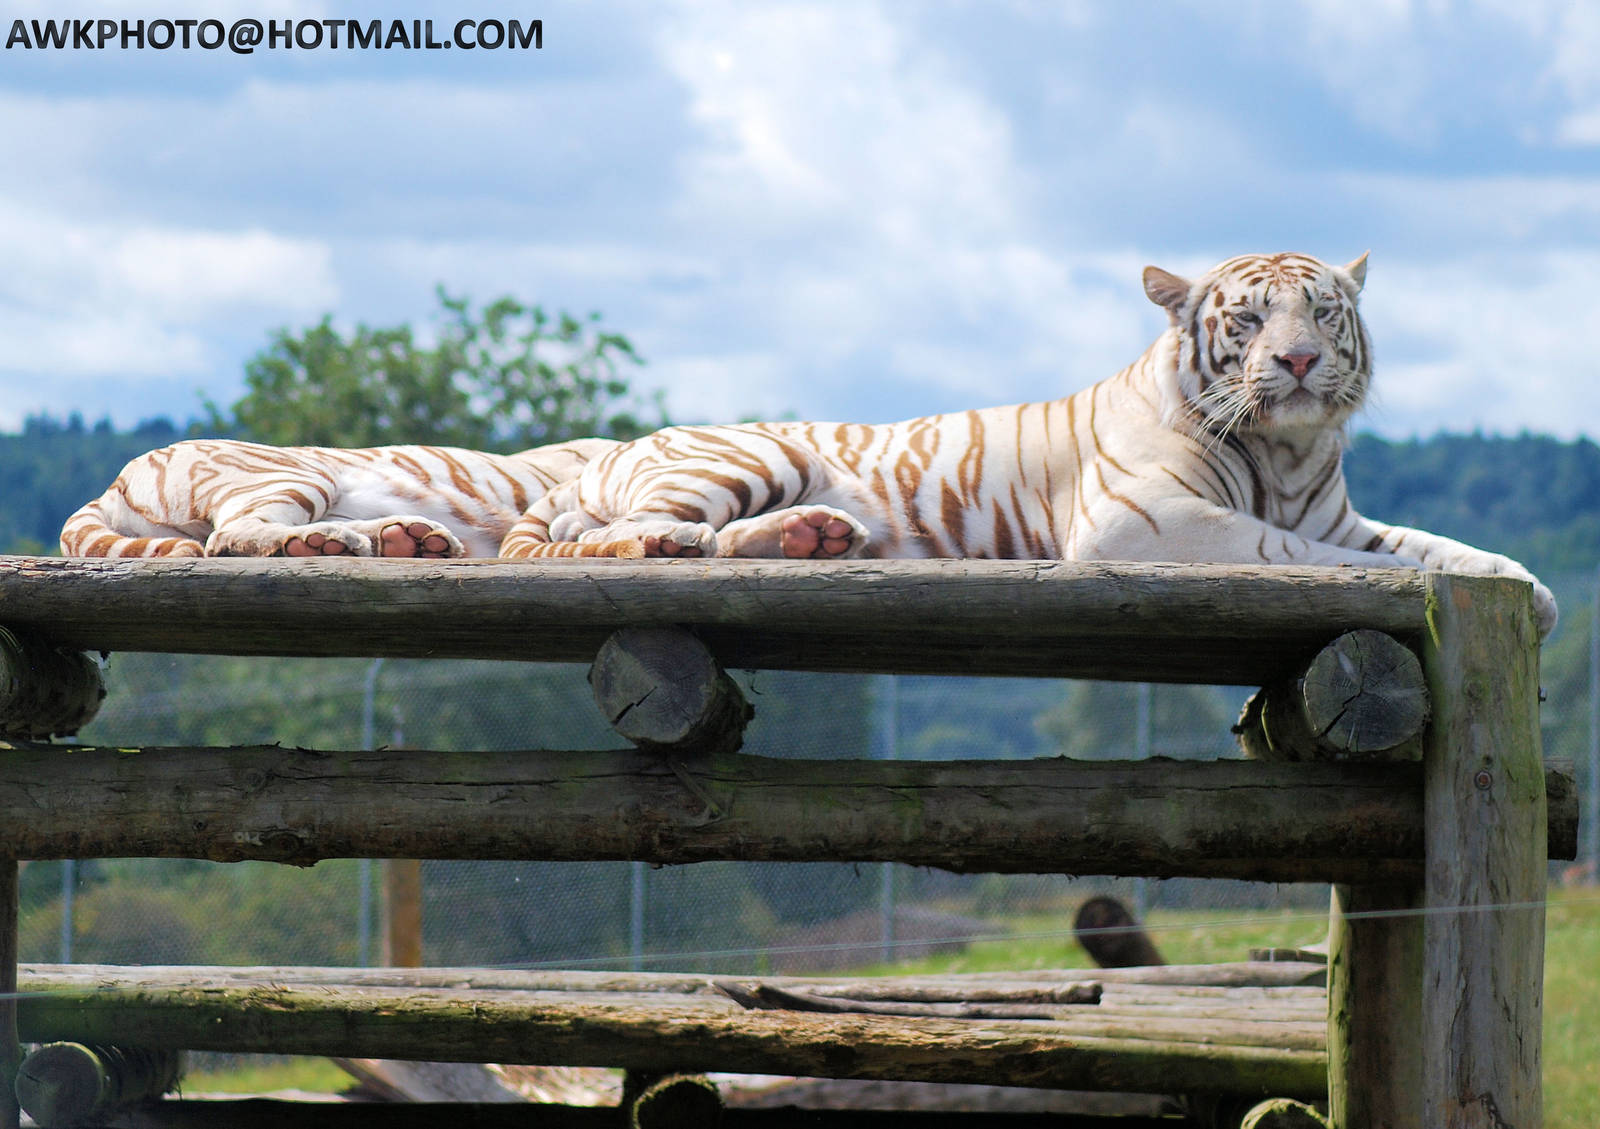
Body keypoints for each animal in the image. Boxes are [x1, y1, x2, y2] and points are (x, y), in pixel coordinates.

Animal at [500, 252, 1558, 637]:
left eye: (1323, 312)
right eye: (1251, 319)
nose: (1298, 361)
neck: (1291, 453)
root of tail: (612, 448)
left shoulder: (1345, 516)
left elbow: (1446, 548)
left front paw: (1533, 592)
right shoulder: (1147, 520)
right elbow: (1294, 550)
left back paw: (812, 539)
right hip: (745, 459)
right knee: (615, 537)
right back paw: (666, 541)